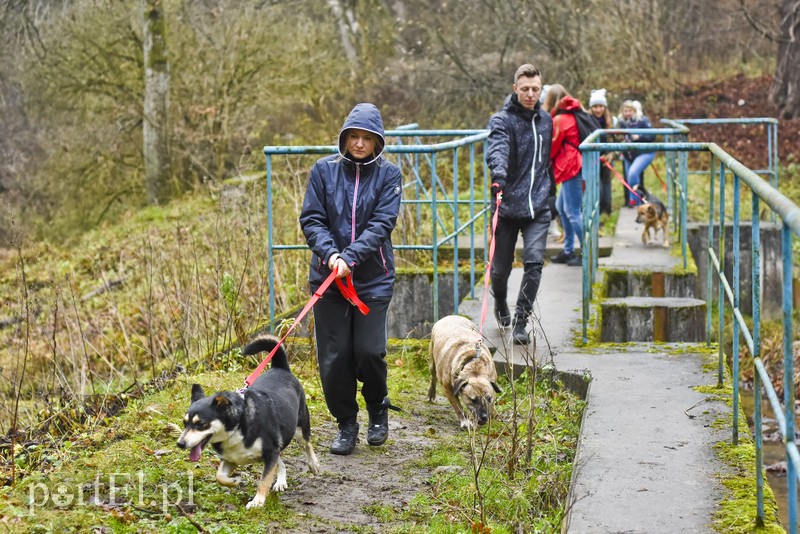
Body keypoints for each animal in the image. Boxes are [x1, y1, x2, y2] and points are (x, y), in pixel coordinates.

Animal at [177, 340, 318, 510]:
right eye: (185, 423)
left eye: (200, 424)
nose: (180, 443)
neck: (237, 426)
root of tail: (280, 368)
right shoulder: (232, 459)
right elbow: (219, 476)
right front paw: (233, 481)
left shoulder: (270, 452)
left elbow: (263, 481)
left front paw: (257, 501)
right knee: (281, 461)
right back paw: (280, 481)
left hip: (299, 427)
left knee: (307, 444)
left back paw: (313, 464)